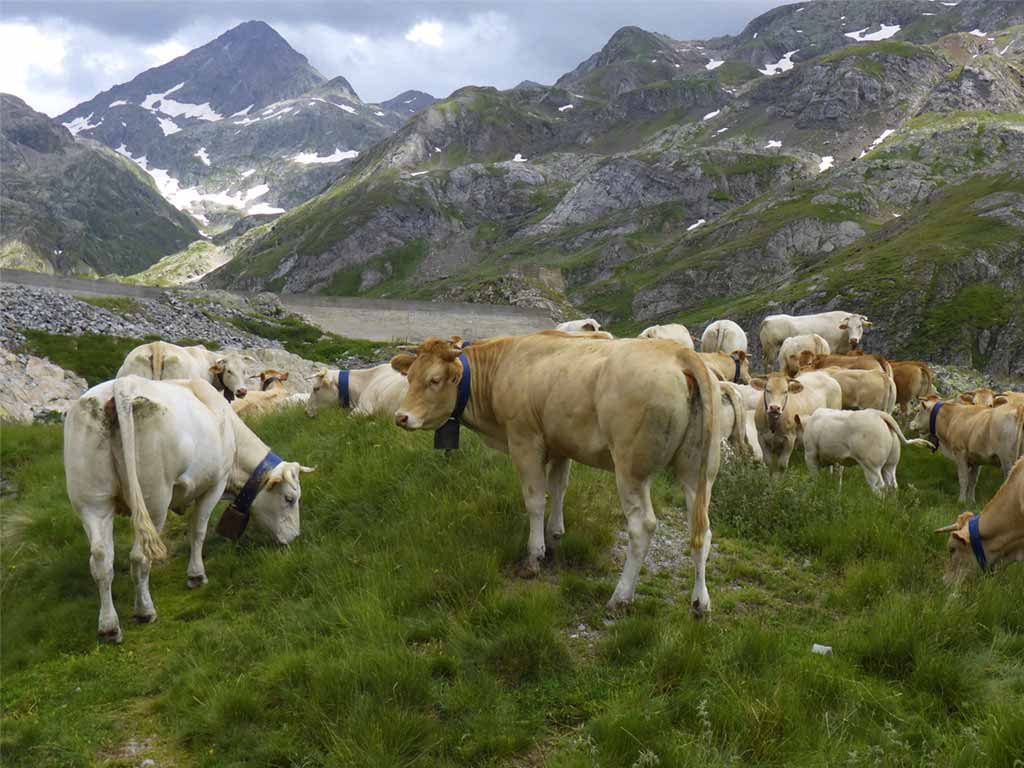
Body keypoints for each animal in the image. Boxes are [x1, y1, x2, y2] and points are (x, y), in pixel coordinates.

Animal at [64, 375, 314, 642]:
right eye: (290, 498)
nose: (294, 537)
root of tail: (122, 385)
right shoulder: (215, 484)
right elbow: (198, 530)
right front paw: (196, 575)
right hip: (154, 500)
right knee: (140, 556)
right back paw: (145, 611)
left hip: (92, 502)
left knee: (101, 559)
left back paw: (109, 627)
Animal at [390, 332, 721, 614]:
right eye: (409, 377)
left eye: (434, 380)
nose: (401, 417)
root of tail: (678, 352)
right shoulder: (561, 444)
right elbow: (559, 488)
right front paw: (555, 533)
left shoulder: (524, 441)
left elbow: (535, 499)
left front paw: (534, 555)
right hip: (699, 469)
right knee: (702, 530)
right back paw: (700, 602)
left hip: (631, 468)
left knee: (642, 526)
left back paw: (620, 597)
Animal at [794, 408, 932, 494]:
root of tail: (878, 414)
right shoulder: (837, 460)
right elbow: (837, 478)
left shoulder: (810, 455)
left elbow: (815, 478)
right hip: (890, 464)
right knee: (892, 486)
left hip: (871, 465)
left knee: (879, 486)